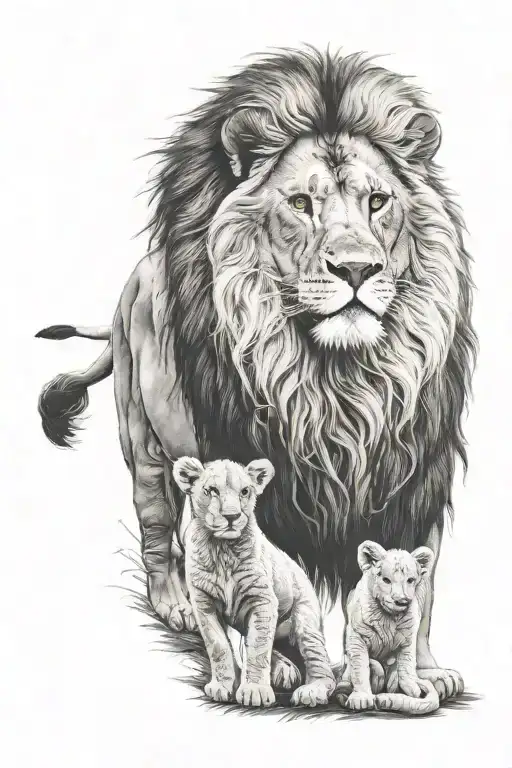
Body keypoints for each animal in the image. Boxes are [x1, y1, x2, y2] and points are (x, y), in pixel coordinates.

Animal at [172, 455, 335, 708]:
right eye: (212, 490)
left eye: (245, 491)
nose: (231, 516)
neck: (222, 549)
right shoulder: (203, 603)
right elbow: (219, 646)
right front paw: (223, 686)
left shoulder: (262, 600)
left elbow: (258, 649)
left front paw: (254, 691)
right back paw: (284, 670)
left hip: (305, 619)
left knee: (317, 660)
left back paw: (311, 690)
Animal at [335, 540, 458, 715]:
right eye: (386, 580)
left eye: (410, 580)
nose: (402, 601)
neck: (388, 617)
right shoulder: (356, 637)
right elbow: (360, 667)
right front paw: (360, 698)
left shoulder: (408, 638)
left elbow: (406, 665)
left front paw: (414, 691)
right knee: (372, 668)